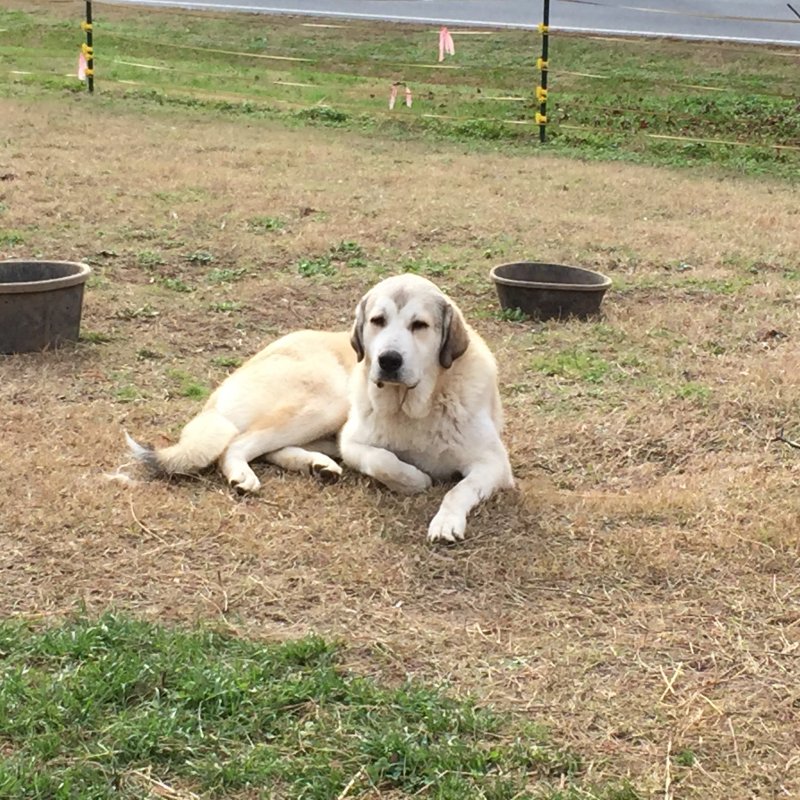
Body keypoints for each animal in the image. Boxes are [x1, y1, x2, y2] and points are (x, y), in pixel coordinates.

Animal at [125, 272, 512, 540]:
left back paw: (318, 465)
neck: (415, 405)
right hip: (327, 402)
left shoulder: (494, 465)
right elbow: (384, 461)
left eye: (420, 325)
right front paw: (415, 479)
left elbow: (459, 490)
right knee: (237, 444)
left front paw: (446, 522)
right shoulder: (353, 441)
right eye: (378, 321)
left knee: (268, 448)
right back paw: (246, 474)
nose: (388, 360)